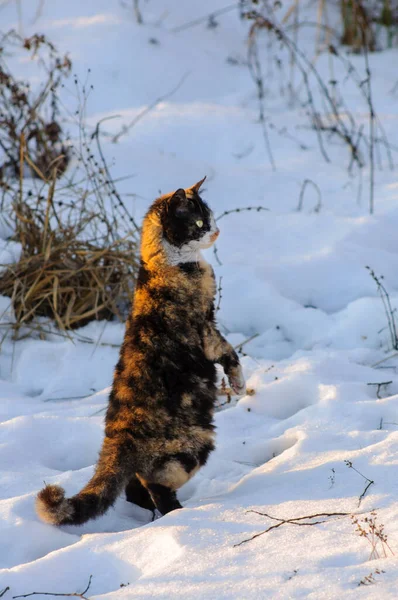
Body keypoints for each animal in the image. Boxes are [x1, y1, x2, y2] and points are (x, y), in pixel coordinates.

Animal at [35, 178, 246, 524]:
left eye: (211, 218)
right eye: (199, 223)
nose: (216, 231)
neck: (165, 264)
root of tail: (117, 438)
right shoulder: (206, 330)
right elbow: (229, 353)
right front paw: (239, 385)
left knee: (133, 487)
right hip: (192, 446)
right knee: (155, 484)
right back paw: (179, 516)